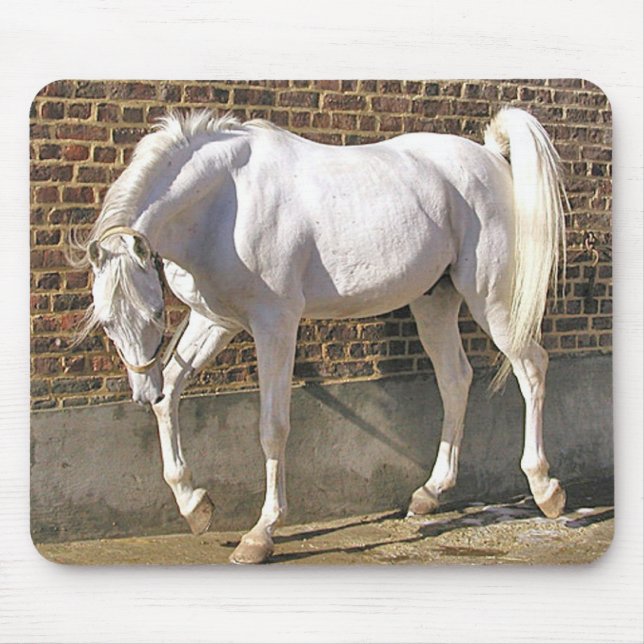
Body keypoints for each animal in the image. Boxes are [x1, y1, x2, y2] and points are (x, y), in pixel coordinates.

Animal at [70, 106, 568, 564]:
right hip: (434, 301)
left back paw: (546, 490)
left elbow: (272, 426)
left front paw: (260, 535)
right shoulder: (214, 320)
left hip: (493, 300)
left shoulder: (275, 324)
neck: (225, 203)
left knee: (531, 369)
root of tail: (490, 156)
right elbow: (171, 393)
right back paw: (429, 493)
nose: (140, 390)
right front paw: (195, 506)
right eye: (107, 321)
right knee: (455, 380)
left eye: (156, 311)